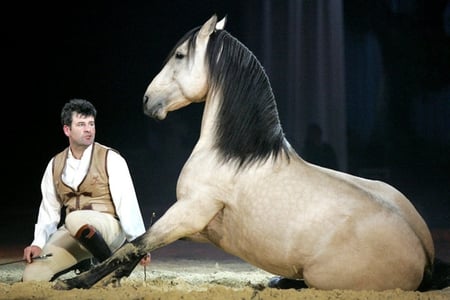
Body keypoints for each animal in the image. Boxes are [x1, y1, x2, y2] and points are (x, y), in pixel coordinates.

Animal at [53, 13, 450, 290]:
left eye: (180, 55)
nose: (148, 101)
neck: (231, 157)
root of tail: (423, 256)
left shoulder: (188, 212)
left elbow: (133, 245)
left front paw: (73, 283)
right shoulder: (195, 225)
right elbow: (136, 248)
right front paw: (108, 279)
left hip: (323, 276)